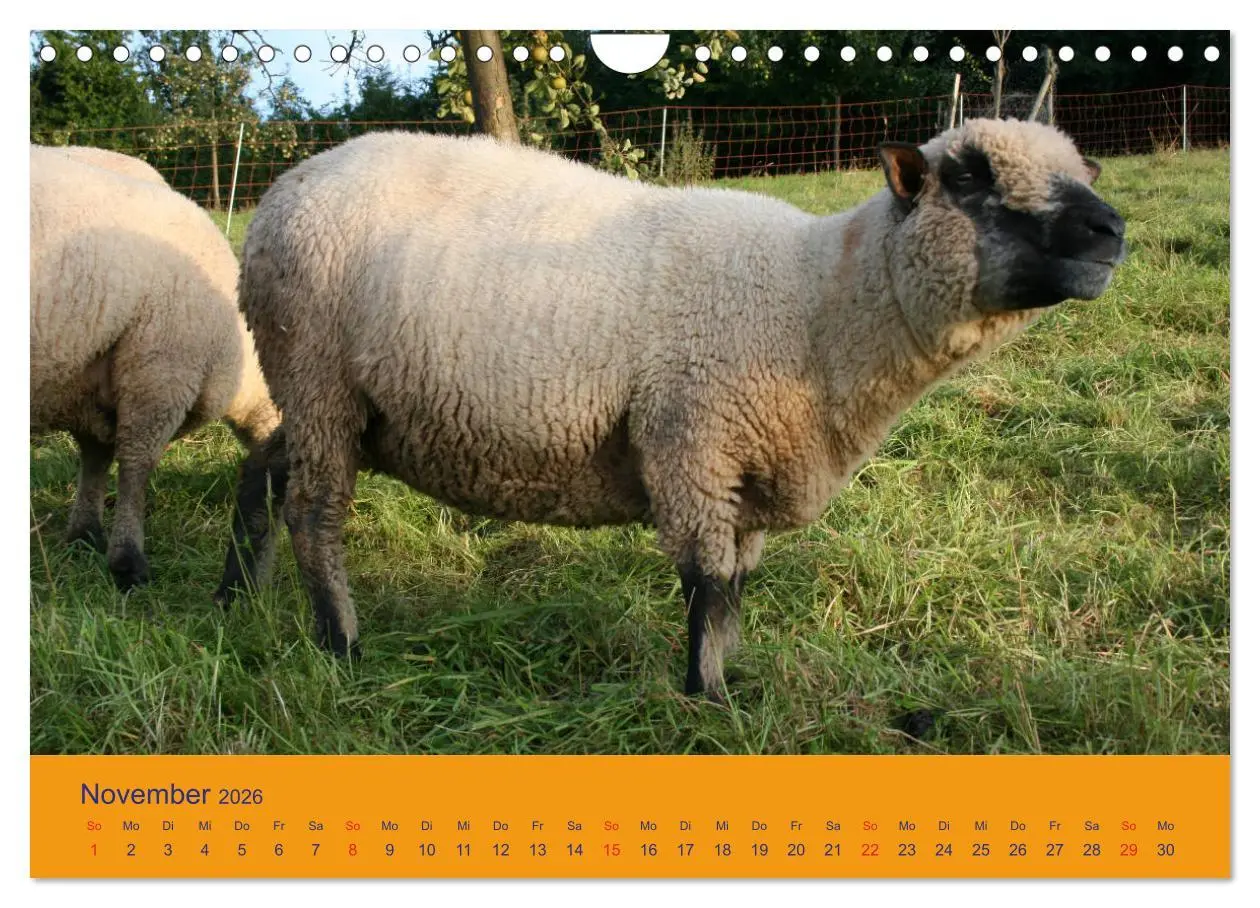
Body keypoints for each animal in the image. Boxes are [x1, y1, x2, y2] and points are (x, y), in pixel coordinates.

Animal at [30, 145, 279, 590]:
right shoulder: (160, 371)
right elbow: (136, 466)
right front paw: (127, 561)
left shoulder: (93, 381)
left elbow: (95, 458)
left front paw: (84, 534)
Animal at [217, 118, 1126, 699]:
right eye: (973, 181)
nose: (1112, 230)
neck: (816, 304)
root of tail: (285, 188)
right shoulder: (693, 443)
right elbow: (708, 587)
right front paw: (707, 703)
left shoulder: (747, 472)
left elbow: (737, 590)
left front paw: (729, 681)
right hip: (320, 375)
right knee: (314, 513)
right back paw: (340, 644)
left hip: (327, 400)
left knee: (262, 469)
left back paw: (240, 599)